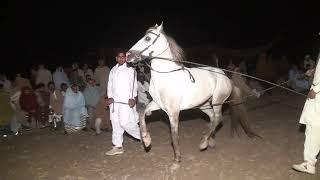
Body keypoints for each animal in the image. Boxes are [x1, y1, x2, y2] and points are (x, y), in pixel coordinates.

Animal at [126, 23, 258, 167]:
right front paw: (146, 140)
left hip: (217, 101)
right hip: (203, 105)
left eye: (148, 38)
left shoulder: (173, 112)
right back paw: (209, 140)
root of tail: (227, 78)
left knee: (218, 118)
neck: (166, 76)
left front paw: (176, 161)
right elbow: (142, 114)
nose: (128, 55)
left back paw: (204, 143)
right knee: (212, 118)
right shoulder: (157, 104)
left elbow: (174, 135)